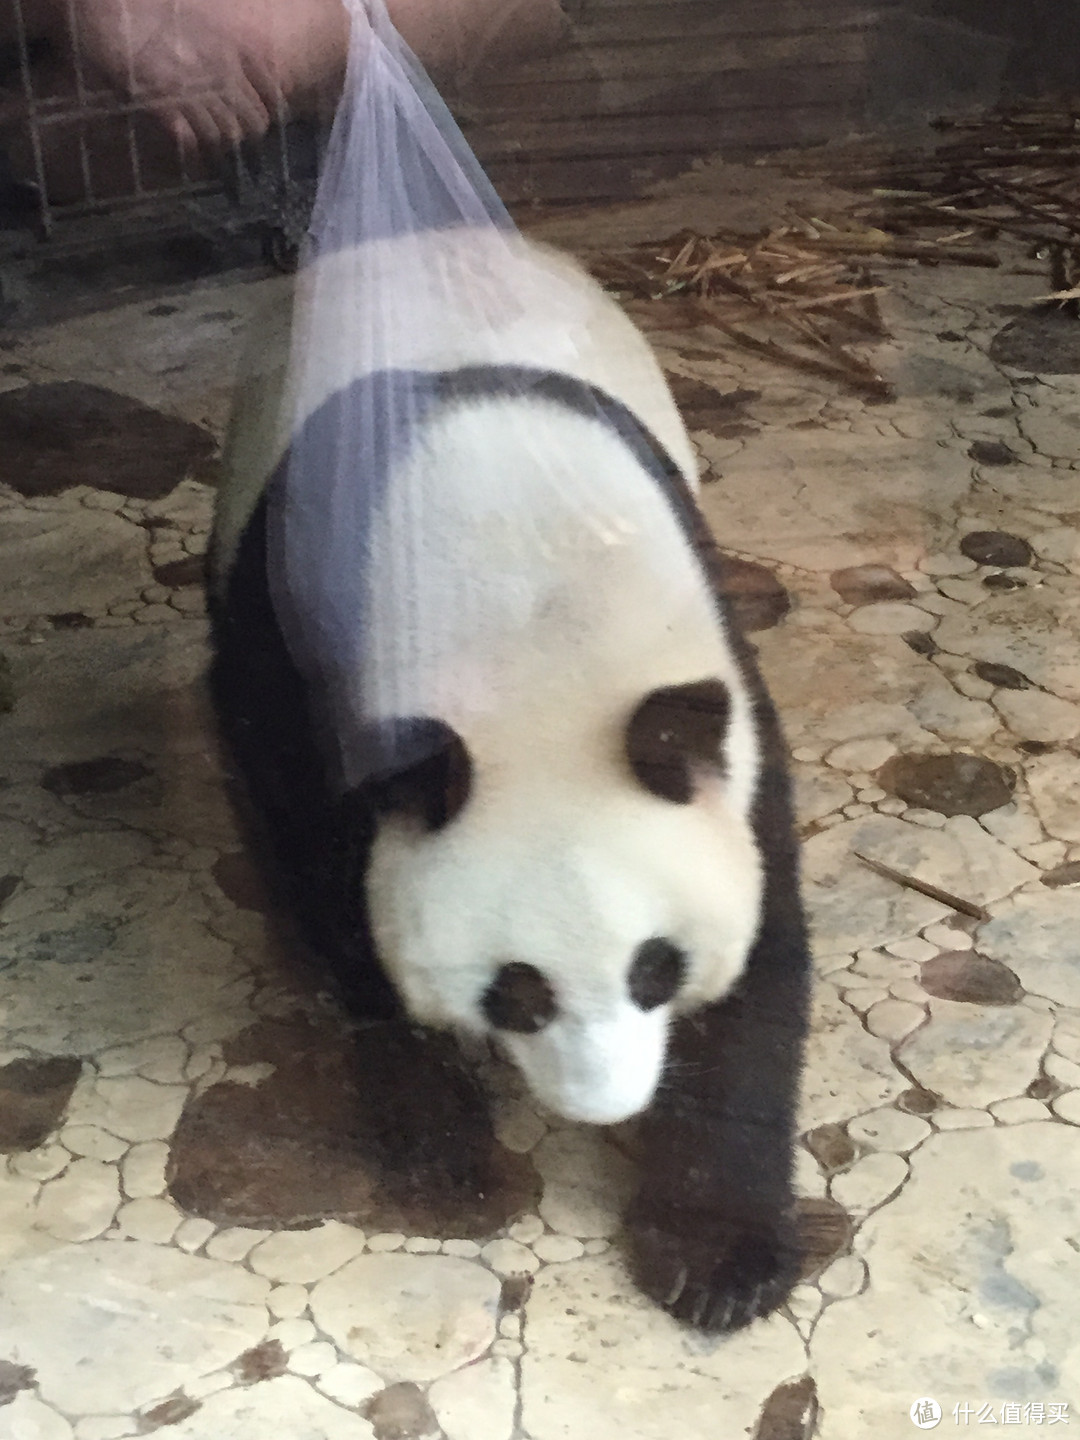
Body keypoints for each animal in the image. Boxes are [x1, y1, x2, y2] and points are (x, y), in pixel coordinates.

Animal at [208, 227, 812, 1336]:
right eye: (516, 992)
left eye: (656, 968)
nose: (603, 1106)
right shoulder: (307, 665)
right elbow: (339, 907)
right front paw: (452, 1159)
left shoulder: (719, 710)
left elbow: (763, 953)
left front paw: (717, 1259)